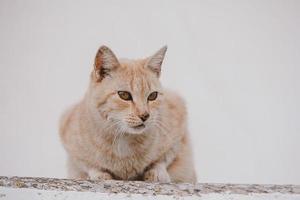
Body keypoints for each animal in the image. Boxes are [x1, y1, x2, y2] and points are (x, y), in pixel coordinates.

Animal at [59, 45, 198, 183]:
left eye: (153, 96)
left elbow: (164, 158)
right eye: (124, 95)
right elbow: (87, 164)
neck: (124, 139)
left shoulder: (179, 126)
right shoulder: (68, 135)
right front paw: (99, 174)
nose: (145, 115)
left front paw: (157, 173)